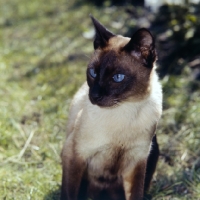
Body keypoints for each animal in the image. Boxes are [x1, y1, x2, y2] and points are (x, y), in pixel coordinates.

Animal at [61, 16, 162, 200]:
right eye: (93, 73)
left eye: (118, 77)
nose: (95, 96)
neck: (124, 110)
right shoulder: (74, 155)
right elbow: (68, 194)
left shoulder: (136, 162)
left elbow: (136, 194)